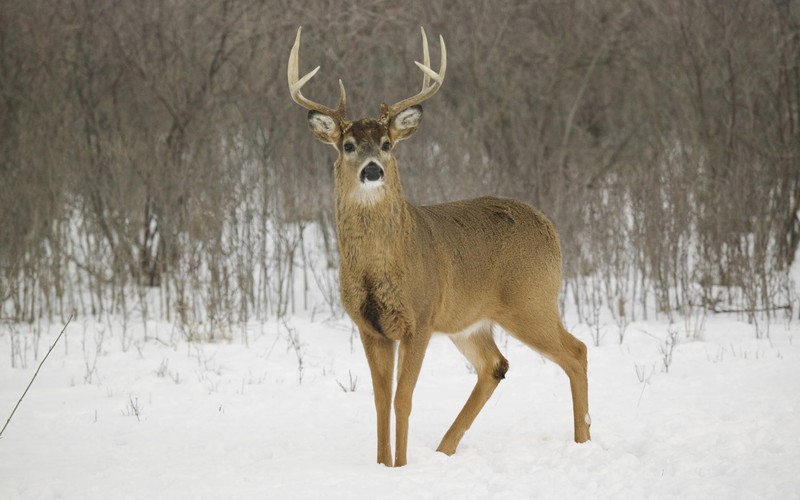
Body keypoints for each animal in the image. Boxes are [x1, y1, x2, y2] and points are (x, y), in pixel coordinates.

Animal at [290, 25, 592, 466]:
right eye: (348, 145)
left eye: (387, 143)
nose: (372, 170)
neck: (380, 266)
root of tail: (550, 227)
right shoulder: (370, 326)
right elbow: (380, 401)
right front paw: (382, 465)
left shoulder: (420, 317)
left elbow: (403, 400)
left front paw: (400, 467)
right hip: (469, 320)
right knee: (495, 365)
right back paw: (444, 450)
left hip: (530, 300)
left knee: (576, 351)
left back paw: (583, 441)